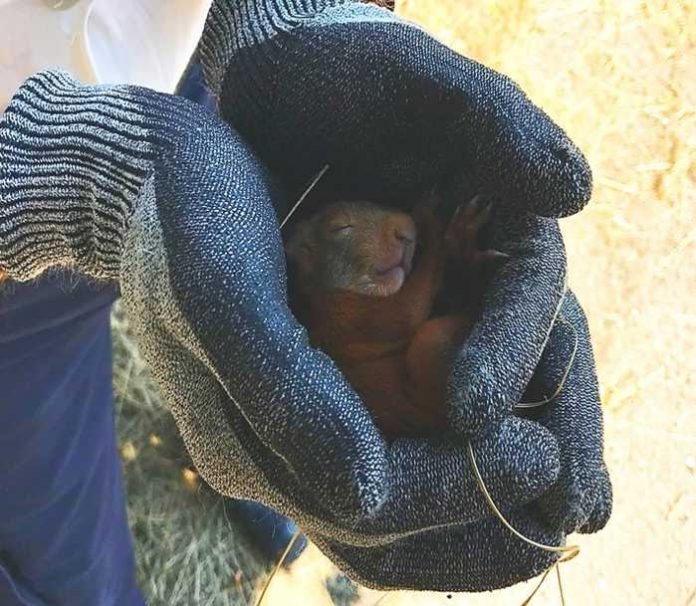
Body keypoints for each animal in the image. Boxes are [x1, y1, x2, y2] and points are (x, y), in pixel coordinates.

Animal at [282, 197, 500, 440]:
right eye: (340, 227)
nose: (406, 227)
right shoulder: (344, 318)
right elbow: (404, 313)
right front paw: (433, 227)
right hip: (430, 346)